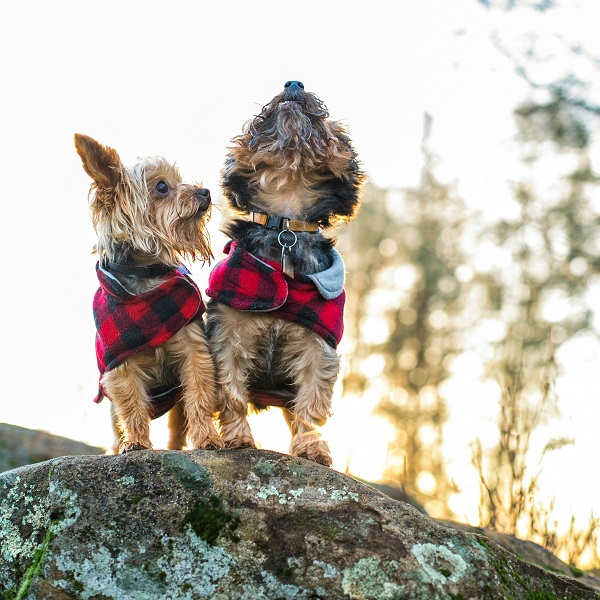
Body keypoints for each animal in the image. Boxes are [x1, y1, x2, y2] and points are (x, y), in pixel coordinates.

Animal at [74, 134, 224, 452]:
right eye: (162, 187)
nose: (204, 191)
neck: (147, 276)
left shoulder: (193, 347)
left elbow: (199, 394)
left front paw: (207, 437)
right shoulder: (119, 366)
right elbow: (131, 405)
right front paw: (136, 442)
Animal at [206, 81, 366, 464]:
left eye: (323, 123)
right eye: (258, 122)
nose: (294, 83)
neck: (285, 225)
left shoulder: (318, 343)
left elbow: (312, 401)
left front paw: (311, 447)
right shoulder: (227, 332)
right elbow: (231, 390)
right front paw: (238, 439)